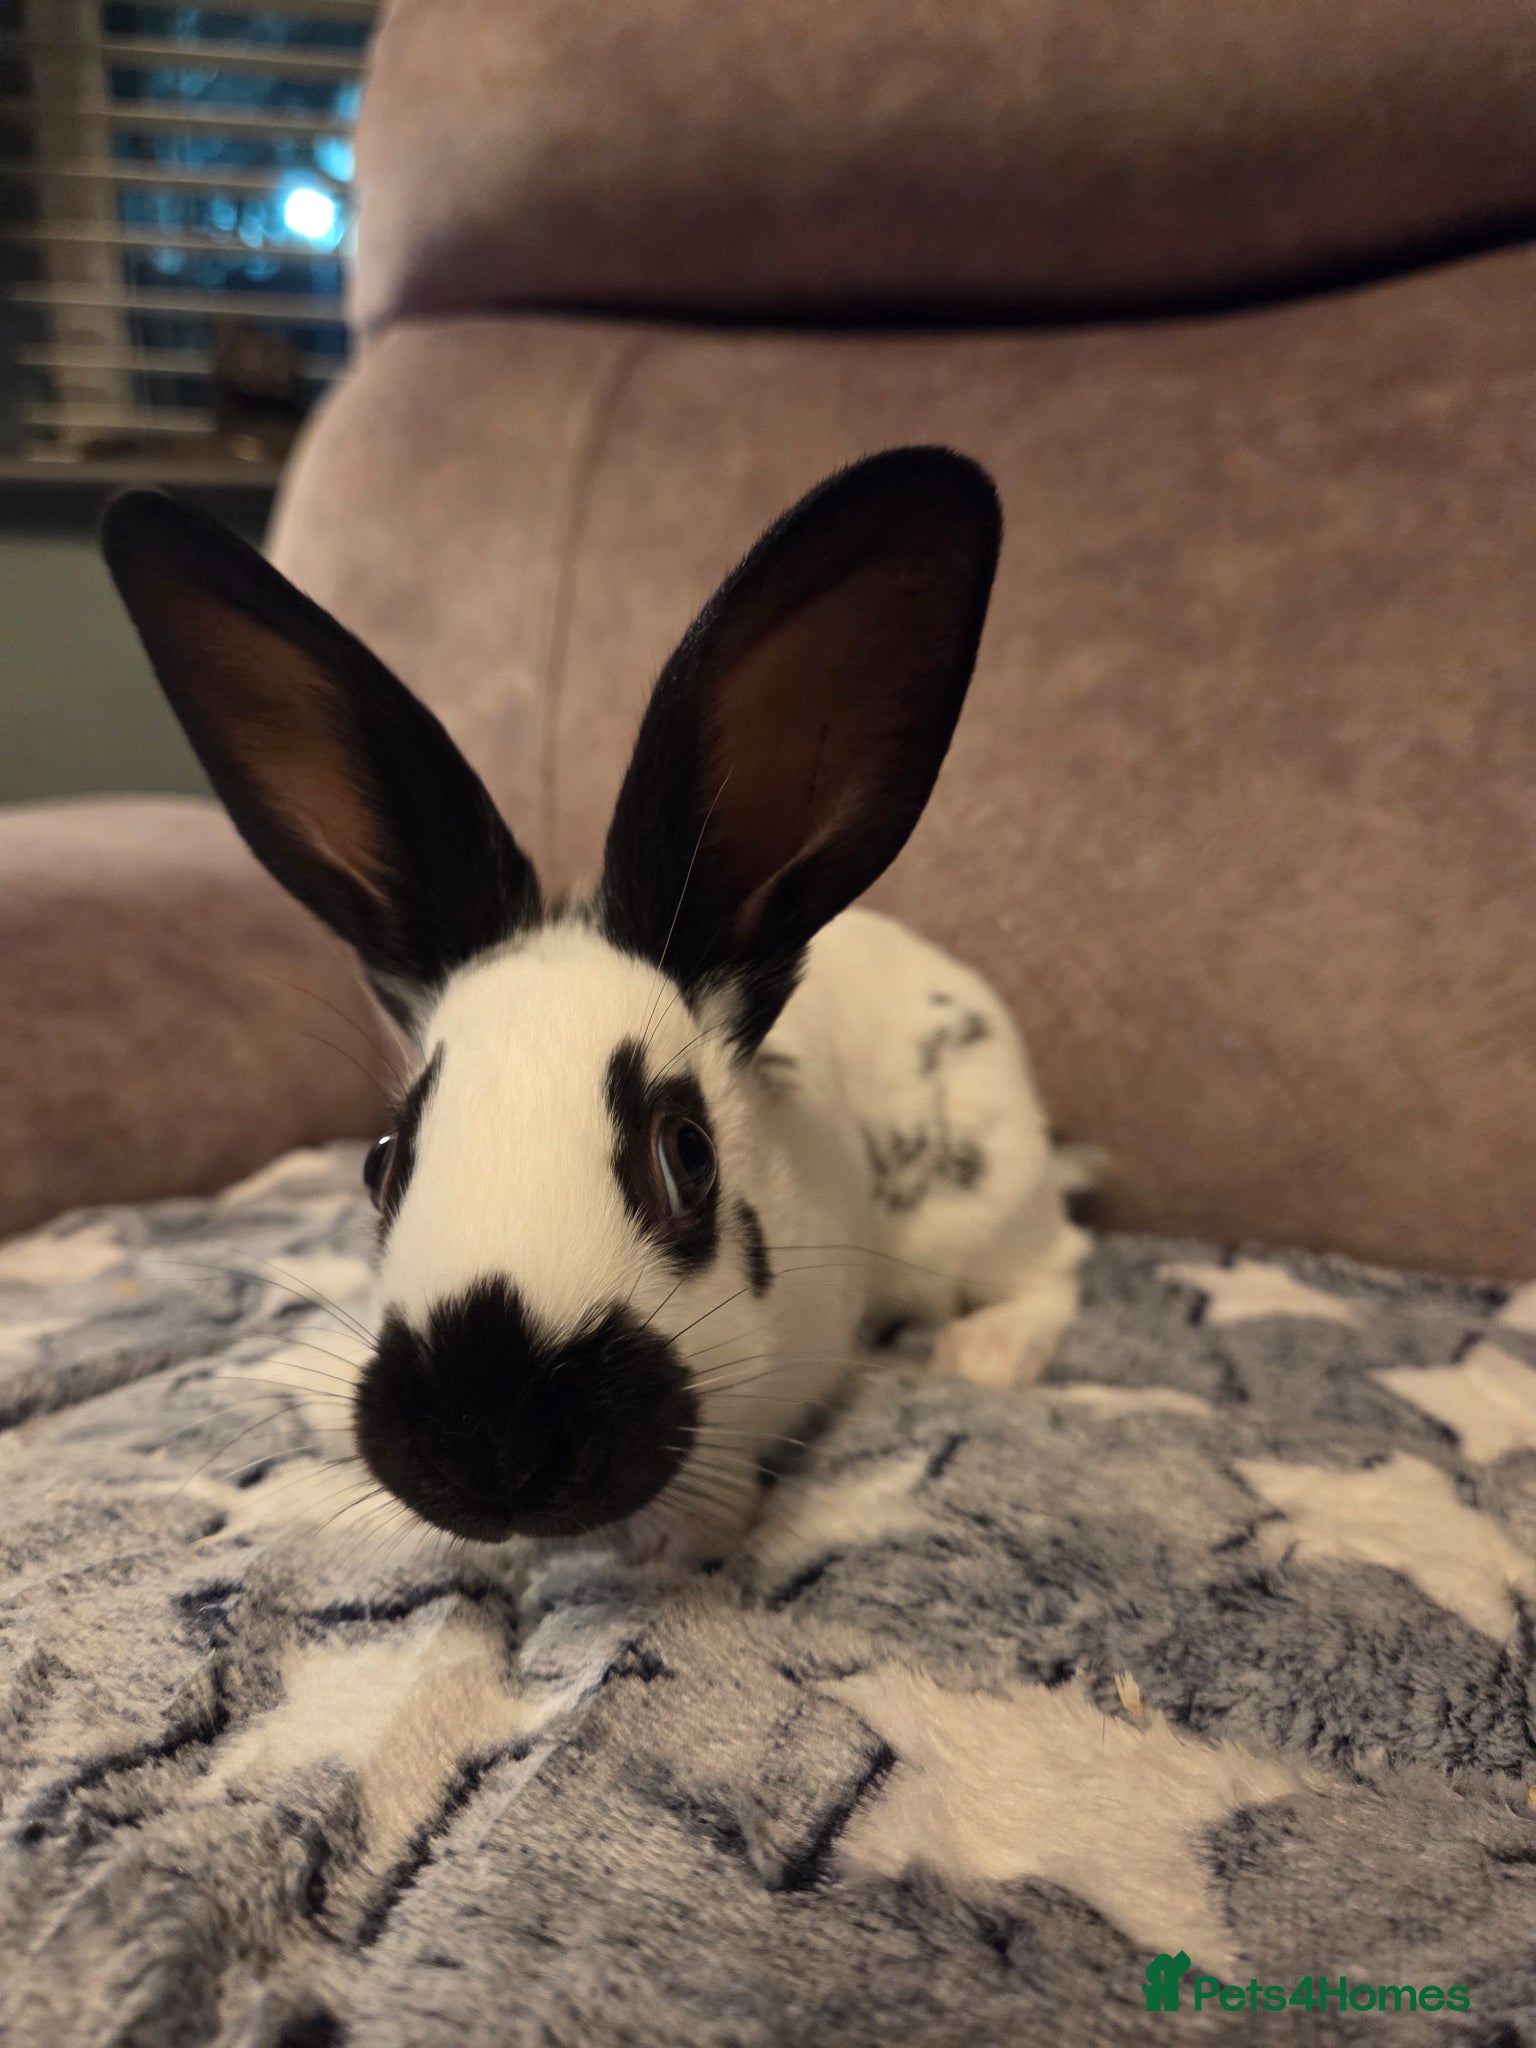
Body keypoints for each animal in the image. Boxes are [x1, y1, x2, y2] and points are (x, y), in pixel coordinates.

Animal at [102, 447, 1088, 1566]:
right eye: (383, 1162)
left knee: (1058, 1263)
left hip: (979, 1207)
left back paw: (986, 1354)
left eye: (687, 1156)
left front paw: (680, 1534)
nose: (487, 1442)